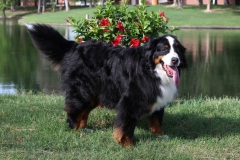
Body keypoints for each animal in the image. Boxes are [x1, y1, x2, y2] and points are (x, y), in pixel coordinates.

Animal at [26, 23, 188, 146]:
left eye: (177, 50)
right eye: (164, 49)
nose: (175, 60)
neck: (152, 70)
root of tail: (74, 46)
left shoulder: (157, 97)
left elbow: (156, 119)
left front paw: (160, 135)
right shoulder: (130, 101)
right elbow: (125, 125)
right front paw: (126, 143)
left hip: (93, 94)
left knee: (84, 112)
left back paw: (84, 129)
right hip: (82, 92)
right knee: (73, 111)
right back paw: (75, 129)